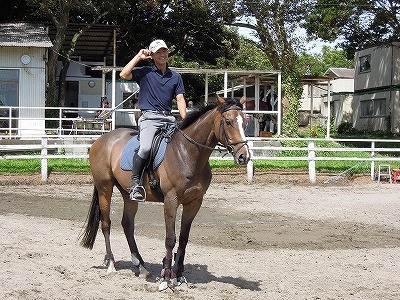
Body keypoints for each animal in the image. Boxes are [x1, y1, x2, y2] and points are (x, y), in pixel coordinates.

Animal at [79, 95, 250, 290]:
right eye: (228, 122)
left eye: (244, 122)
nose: (244, 156)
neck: (187, 153)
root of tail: (101, 140)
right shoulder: (171, 201)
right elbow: (170, 238)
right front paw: (166, 278)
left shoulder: (194, 202)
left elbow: (183, 238)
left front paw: (178, 275)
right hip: (104, 189)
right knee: (106, 223)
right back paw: (111, 263)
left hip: (128, 195)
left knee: (127, 225)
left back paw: (140, 266)